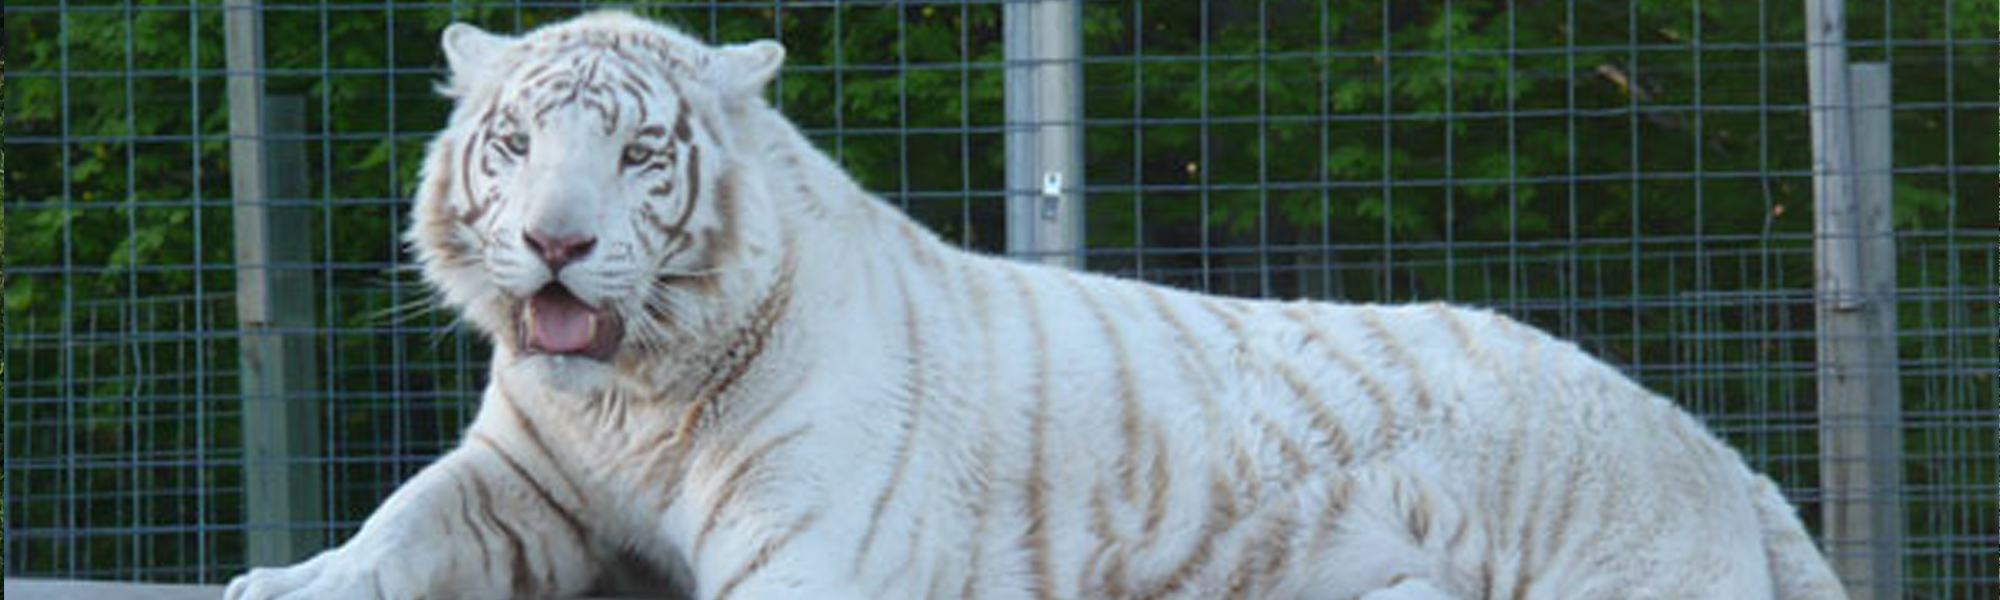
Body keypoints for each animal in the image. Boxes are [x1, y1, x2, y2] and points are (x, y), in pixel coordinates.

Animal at [225, 11, 1848, 600]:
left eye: (635, 154)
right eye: (514, 143)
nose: (555, 247)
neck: (637, 390)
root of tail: (1702, 441)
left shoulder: (810, 543)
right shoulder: (522, 478)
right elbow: (398, 527)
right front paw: (284, 581)